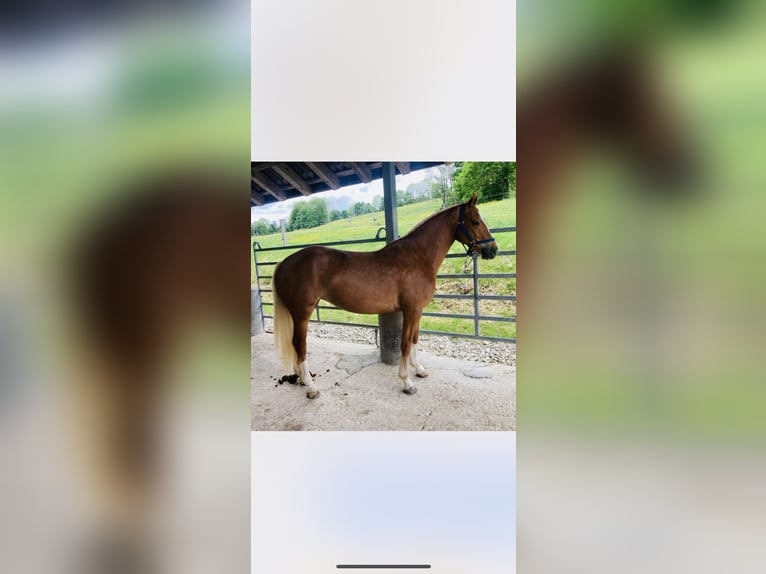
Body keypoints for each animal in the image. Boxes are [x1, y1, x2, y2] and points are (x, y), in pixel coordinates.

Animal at [271, 193, 498, 398]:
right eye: (475, 221)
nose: (493, 250)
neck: (418, 257)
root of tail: (284, 263)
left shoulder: (417, 311)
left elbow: (415, 339)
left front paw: (419, 370)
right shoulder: (410, 310)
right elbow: (405, 344)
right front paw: (407, 382)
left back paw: (302, 380)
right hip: (302, 313)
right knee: (299, 345)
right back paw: (311, 387)